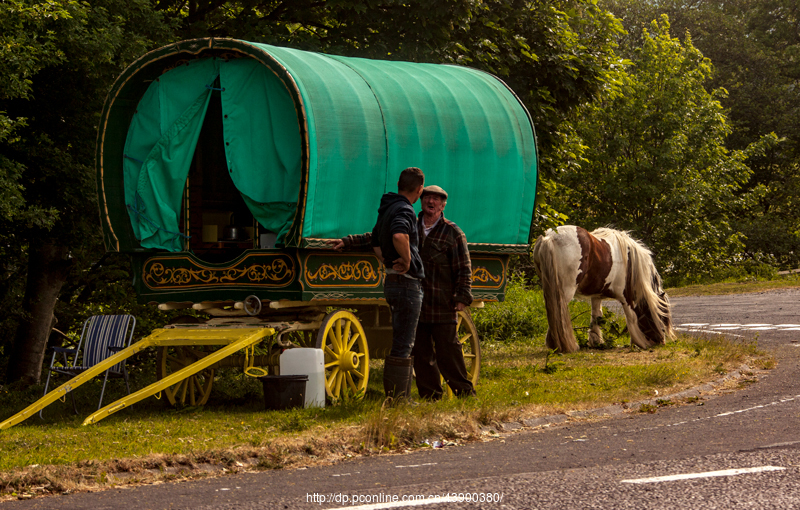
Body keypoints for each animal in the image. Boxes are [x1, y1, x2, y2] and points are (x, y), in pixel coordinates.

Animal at [532, 225, 676, 352]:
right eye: (661, 316)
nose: (661, 341)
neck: (631, 262)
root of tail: (549, 237)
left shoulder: (596, 295)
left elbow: (596, 316)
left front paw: (596, 342)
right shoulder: (626, 297)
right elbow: (631, 317)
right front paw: (639, 342)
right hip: (564, 291)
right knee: (559, 314)